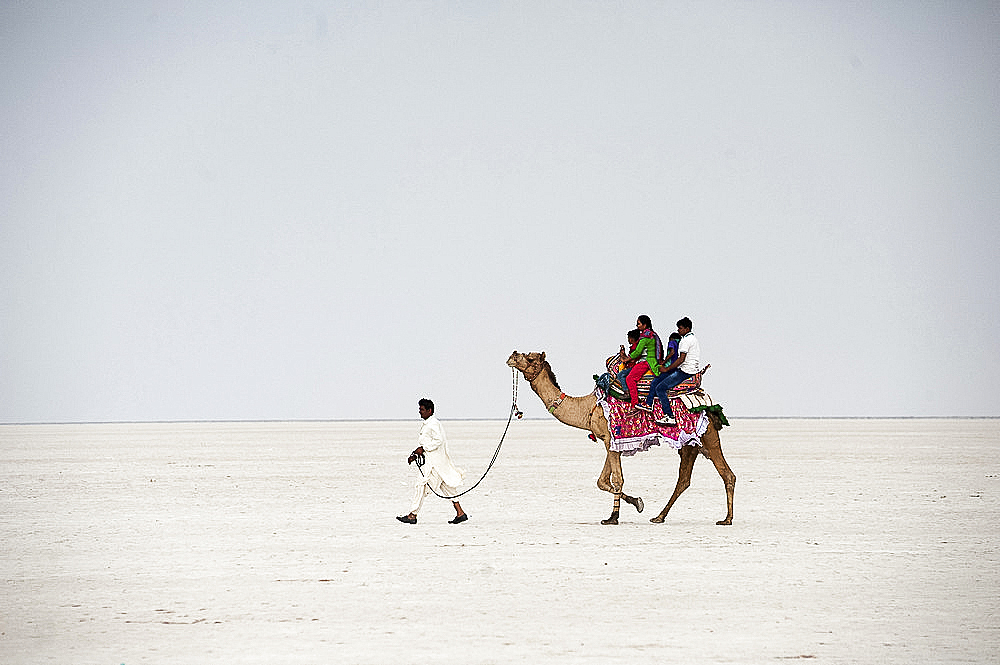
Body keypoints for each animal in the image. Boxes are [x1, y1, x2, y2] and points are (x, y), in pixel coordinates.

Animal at [508, 350, 736, 528]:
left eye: (530, 358)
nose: (512, 355)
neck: (588, 408)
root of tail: (707, 403)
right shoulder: (610, 441)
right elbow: (602, 481)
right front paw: (637, 503)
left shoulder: (611, 438)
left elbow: (617, 479)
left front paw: (613, 517)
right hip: (690, 445)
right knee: (684, 480)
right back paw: (659, 517)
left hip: (708, 437)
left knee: (727, 474)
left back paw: (726, 519)